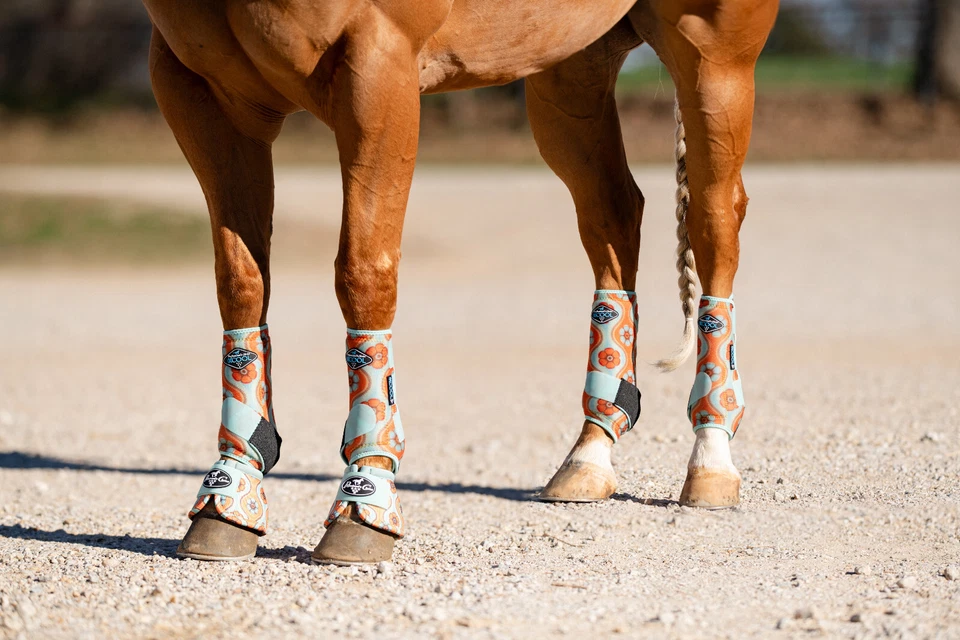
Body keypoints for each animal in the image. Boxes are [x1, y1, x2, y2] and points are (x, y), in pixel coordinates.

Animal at [142, 0, 779, 564]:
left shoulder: (378, 70)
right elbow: (241, 282)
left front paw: (365, 504)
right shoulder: (199, 90)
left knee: (715, 219)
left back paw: (712, 455)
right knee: (614, 214)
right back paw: (591, 453)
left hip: (713, 61)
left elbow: (363, 271)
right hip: (571, 68)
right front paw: (227, 498)